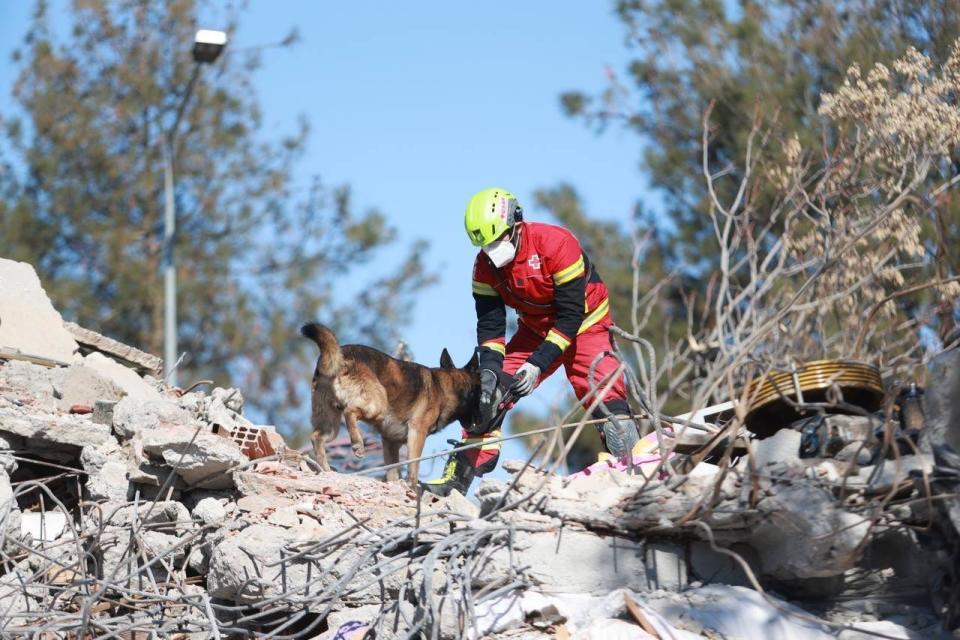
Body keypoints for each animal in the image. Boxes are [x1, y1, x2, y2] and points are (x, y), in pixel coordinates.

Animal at [300, 322, 480, 488]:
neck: (446, 386)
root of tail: (340, 353)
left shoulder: (390, 443)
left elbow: (393, 471)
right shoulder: (417, 432)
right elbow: (413, 466)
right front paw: (412, 487)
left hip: (331, 425)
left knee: (317, 437)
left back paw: (326, 470)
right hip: (377, 405)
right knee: (350, 411)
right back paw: (357, 444)